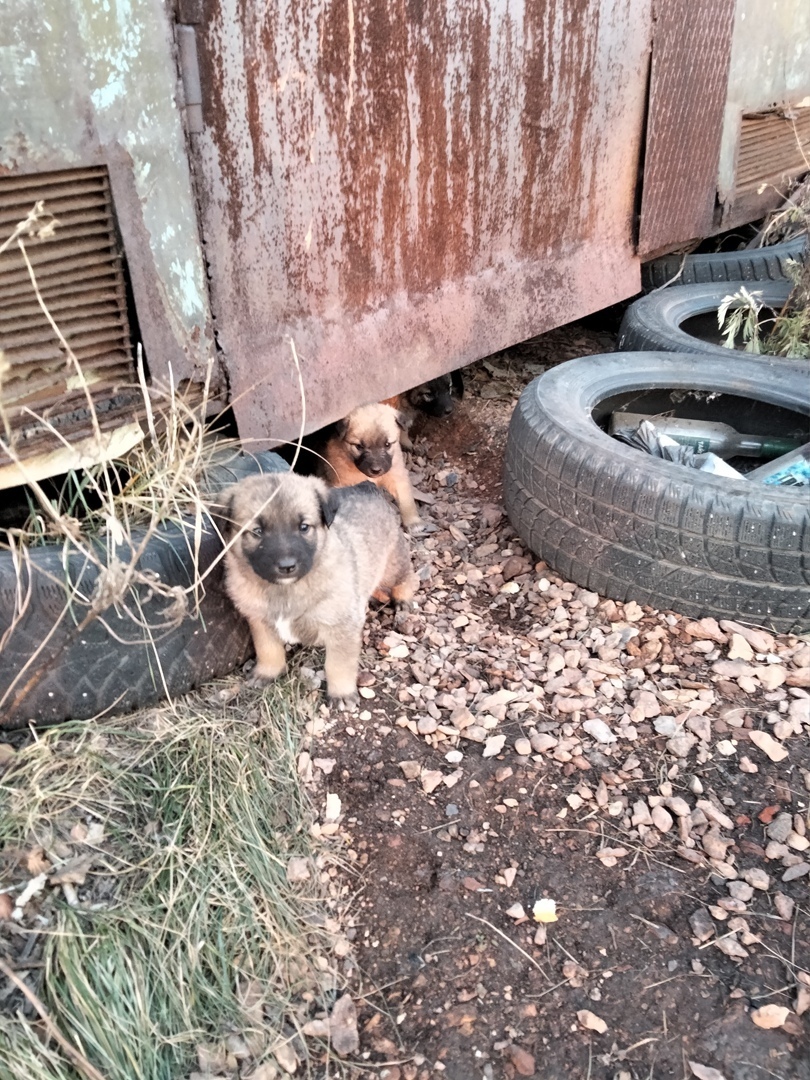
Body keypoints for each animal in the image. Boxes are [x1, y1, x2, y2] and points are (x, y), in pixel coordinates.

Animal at [219, 470, 414, 704]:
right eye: (257, 531)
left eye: (304, 527)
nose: (287, 566)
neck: (286, 590)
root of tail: (366, 487)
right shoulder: (260, 620)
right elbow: (268, 649)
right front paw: (267, 672)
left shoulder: (342, 625)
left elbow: (338, 664)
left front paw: (341, 693)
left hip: (392, 565)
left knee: (407, 575)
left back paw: (403, 599)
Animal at [324, 401, 425, 531]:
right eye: (359, 446)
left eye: (387, 444)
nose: (376, 470)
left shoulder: (397, 475)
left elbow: (406, 500)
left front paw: (413, 522)